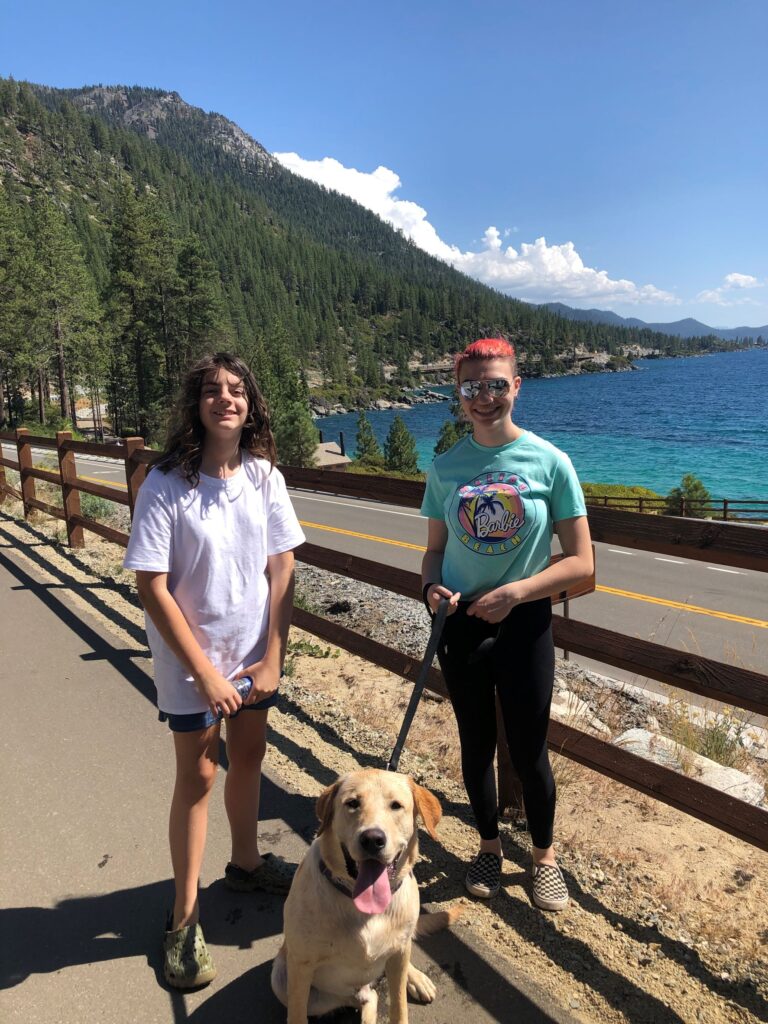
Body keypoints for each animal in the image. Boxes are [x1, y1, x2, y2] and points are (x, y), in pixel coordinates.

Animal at [274, 770, 460, 1024]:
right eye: (353, 803)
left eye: (396, 805)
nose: (372, 839)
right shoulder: (301, 964)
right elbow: (297, 1014)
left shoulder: (398, 954)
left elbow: (399, 1007)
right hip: (283, 980)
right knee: (368, 998)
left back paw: (416, 978)